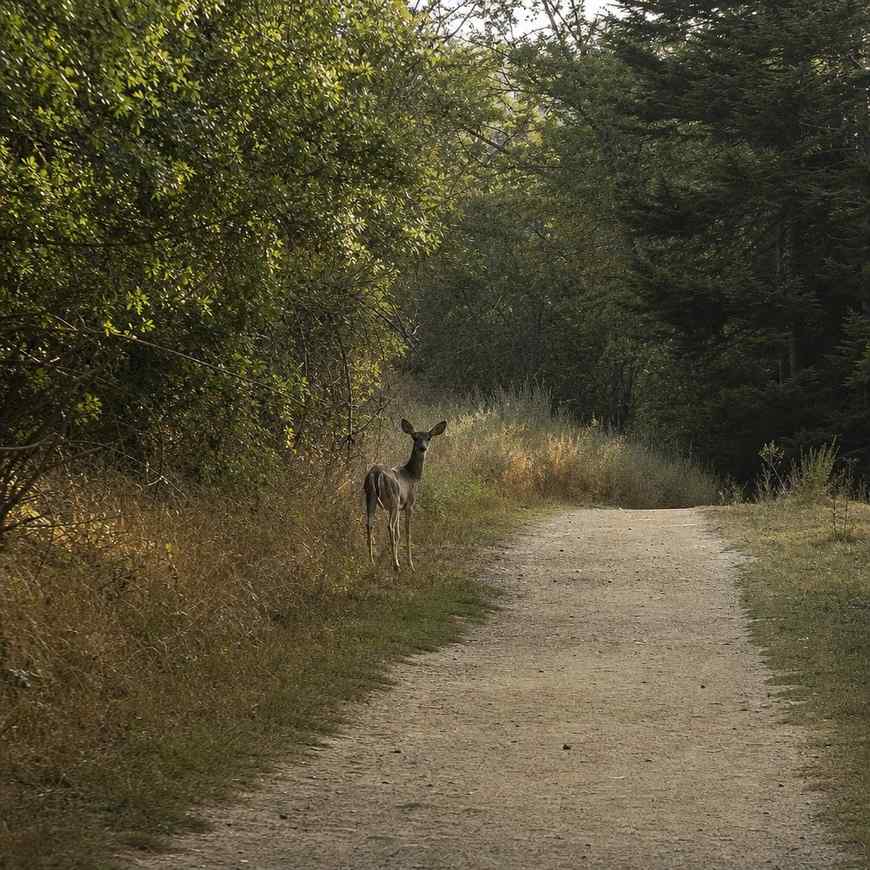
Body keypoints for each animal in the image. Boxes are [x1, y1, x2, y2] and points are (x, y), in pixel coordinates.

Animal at [364, 418, 447, 572]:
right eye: (414, 437)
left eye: (428, 437)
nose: (422, 448)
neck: (412, 475)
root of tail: (375, 474)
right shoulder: (409, 504)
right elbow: (407, 532)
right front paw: (410, 564)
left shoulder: (398, 508)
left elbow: (398, 534)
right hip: (393, 499)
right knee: (389, 527)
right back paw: (396, 566)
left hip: (371, 497)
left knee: (369, 524)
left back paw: (371, 561)